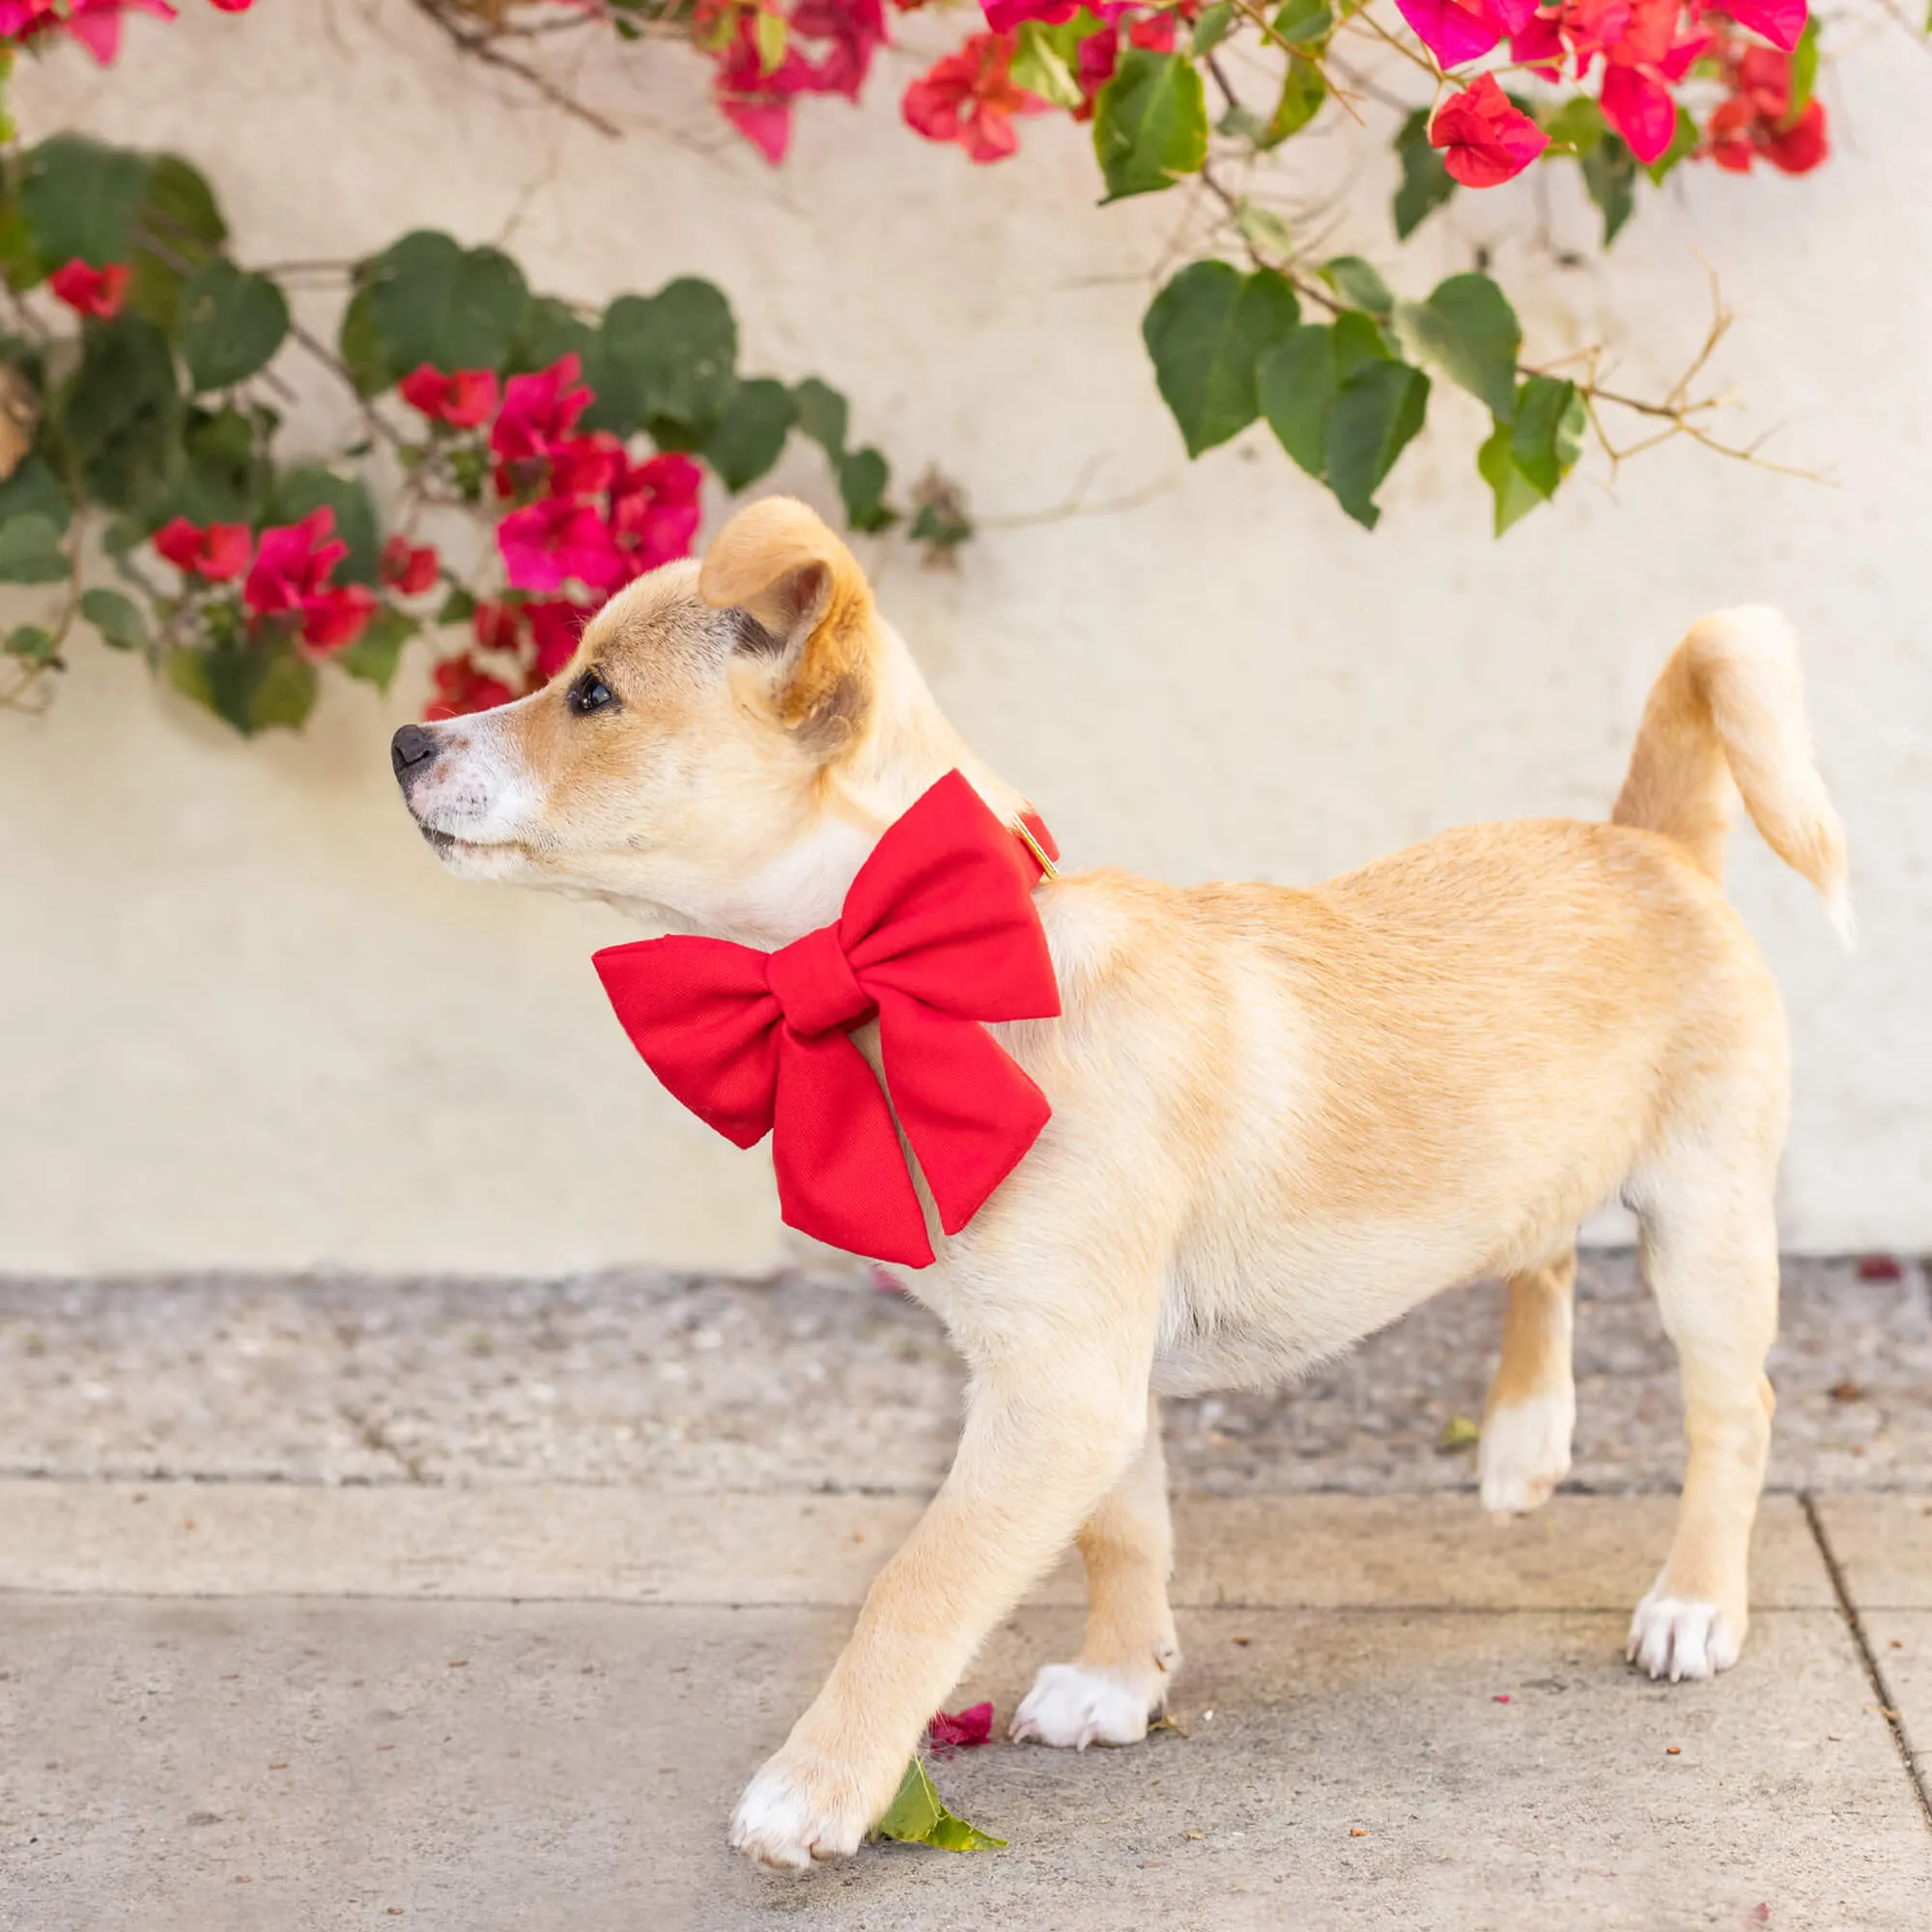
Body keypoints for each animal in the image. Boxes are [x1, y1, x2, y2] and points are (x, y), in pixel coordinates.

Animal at [388, 498, 1839, 1870]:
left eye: (592, 695)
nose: (405, 742)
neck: (936, 979)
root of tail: (1649, 845)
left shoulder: (1057, 1389)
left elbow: (917, 1583)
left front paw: (815, 1787)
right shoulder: (1090, 1385)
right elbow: (1122, 1530)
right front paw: (1119, 1680)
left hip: (1704, 1229)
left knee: (1736, 1412)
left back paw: (1694, 1601)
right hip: (1533, 1171)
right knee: (1540, 1252)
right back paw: (1524, 1442)